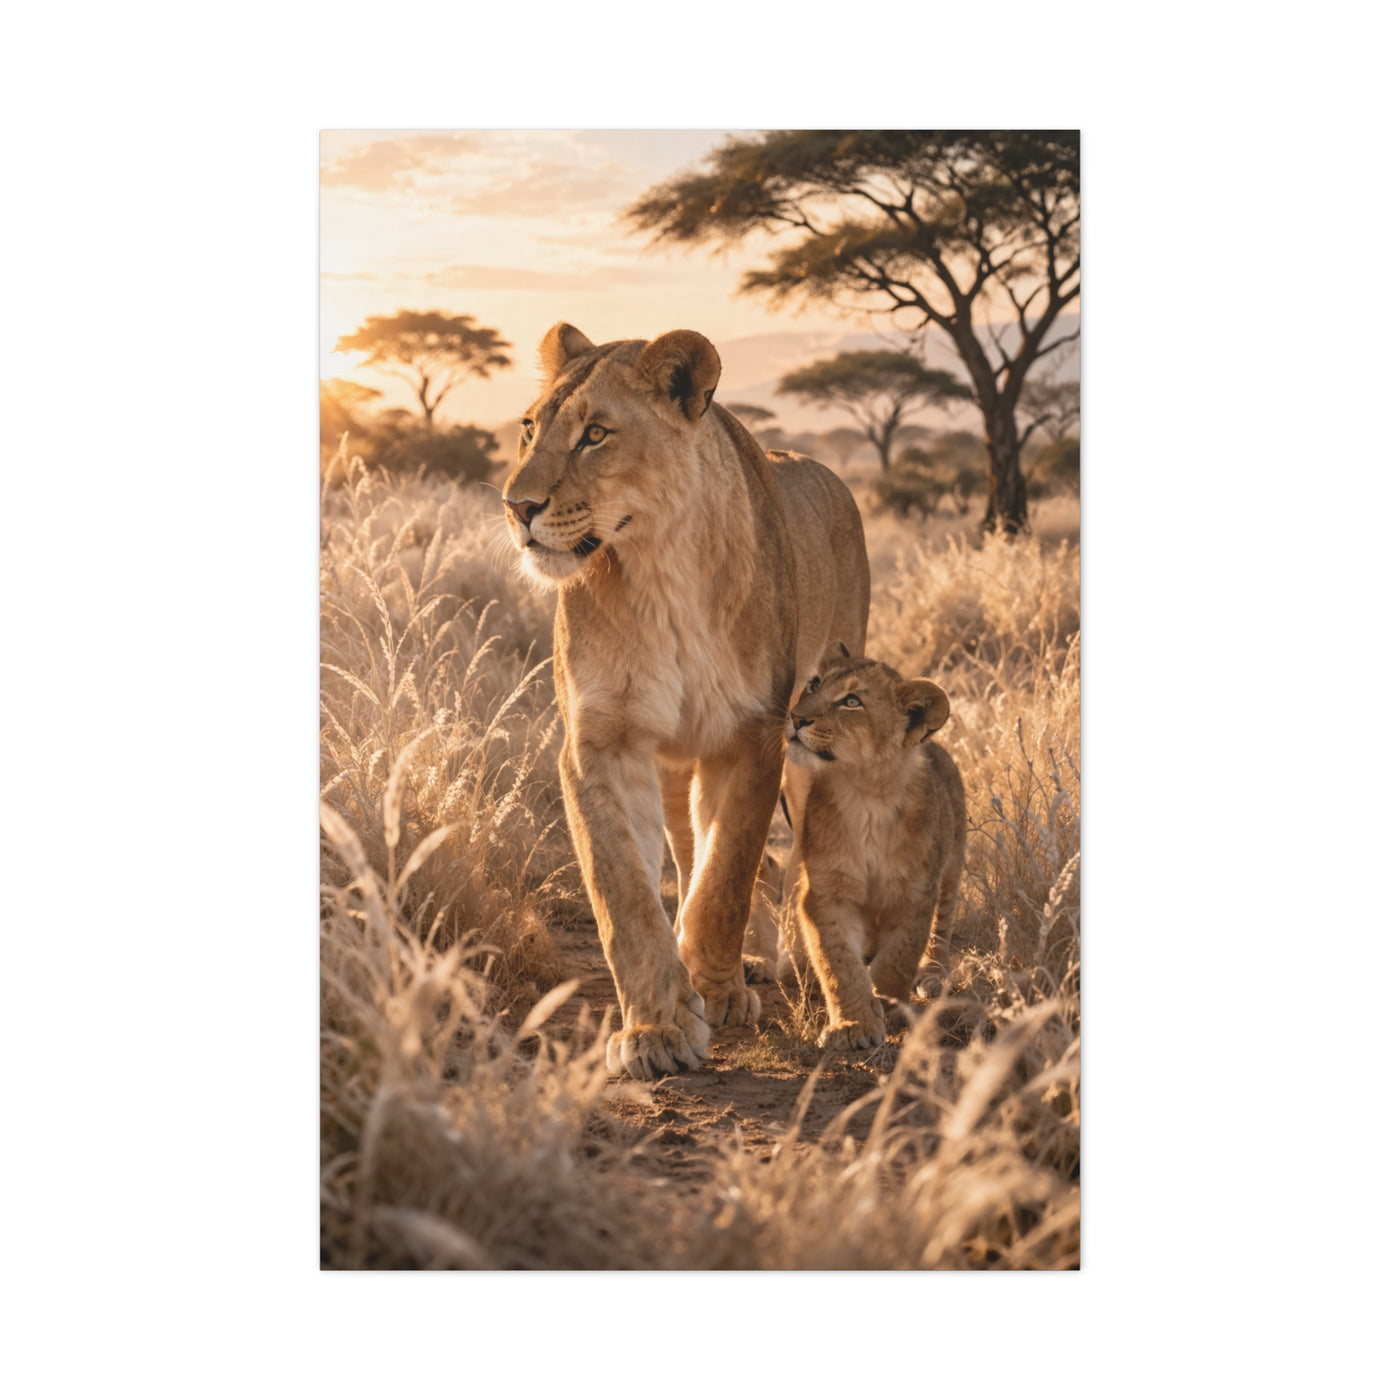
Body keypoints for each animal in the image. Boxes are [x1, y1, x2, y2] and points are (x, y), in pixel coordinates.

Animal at [501, 324, 869, 1080]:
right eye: (529, 429)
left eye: (595, 435)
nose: (516, 507)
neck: (657, 566)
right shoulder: (600, 741)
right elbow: (624, 892)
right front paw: (659, 1026)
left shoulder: (754, 735)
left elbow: (726, 874)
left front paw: (714, 987)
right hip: (673, 761)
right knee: (689, 842)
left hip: (812, 741)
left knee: (770, 857)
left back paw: (772, 962)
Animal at [781, 643, 966, 1050]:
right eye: (815, 684)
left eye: (852, 701)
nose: (795, 717)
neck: (865, 793)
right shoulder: (825, 892)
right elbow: (838, 964)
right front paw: (854, 1024)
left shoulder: (915, 892)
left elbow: (898, 958)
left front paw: (888, 1002)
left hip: (951, 869)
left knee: (942, 928)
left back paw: (934, 973)